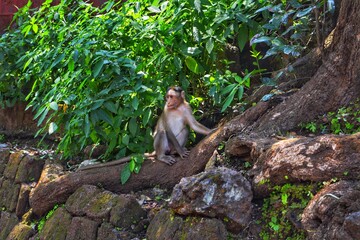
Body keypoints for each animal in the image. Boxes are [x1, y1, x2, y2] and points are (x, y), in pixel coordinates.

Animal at [76, 86, 211, 171]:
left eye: (171, 97)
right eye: (167, 97)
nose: (168, 101)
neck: (177, 107)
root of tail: (155, 150)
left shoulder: (187, 107)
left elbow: (193, 125)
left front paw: (211, 131)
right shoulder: (166, 110)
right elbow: (167, 130)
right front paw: (181, 152)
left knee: (186, 130)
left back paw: (175, 152)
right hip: (162, 146)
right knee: (161, 133)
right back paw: (163, 156)